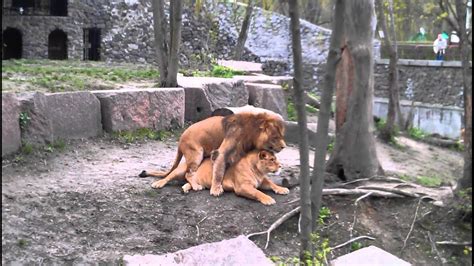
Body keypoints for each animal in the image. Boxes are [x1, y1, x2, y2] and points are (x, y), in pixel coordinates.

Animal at [139, 111, 286, 192]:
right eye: (275, 137)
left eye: (281, 136)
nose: (284, 146)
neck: (252, 132)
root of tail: (180, 139)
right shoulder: (221, 151)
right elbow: (219, 171)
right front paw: (216, 189)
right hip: (196, 153)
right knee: (188, 173)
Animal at [147, 150, 288, 206]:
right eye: (272, 160)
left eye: (275, 159)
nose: (281, 165)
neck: (258, 171)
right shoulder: (242, 187)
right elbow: (257, 192)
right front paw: (268, 199)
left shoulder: (262, 180)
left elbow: (272, 183)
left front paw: (282, 189)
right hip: (181, 170)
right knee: (173, 177)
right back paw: (158, 184)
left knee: (187, 182)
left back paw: (189, 188)